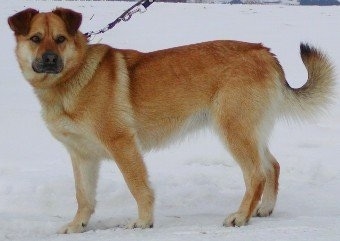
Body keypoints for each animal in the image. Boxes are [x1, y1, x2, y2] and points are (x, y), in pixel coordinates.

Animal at [7, 8, 334, 233]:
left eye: (60, 39)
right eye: (36, 39)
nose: (50, 59)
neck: (71, 79)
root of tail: (265, 53)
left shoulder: (122, 144)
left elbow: (138, 186)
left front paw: (143, 222)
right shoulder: (82, 156)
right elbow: (83, 196)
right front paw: (77, 226)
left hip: (234, 131)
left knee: (257, 174)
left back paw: (241, 216)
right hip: (249, 132)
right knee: (271, 166)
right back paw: (263, 209)